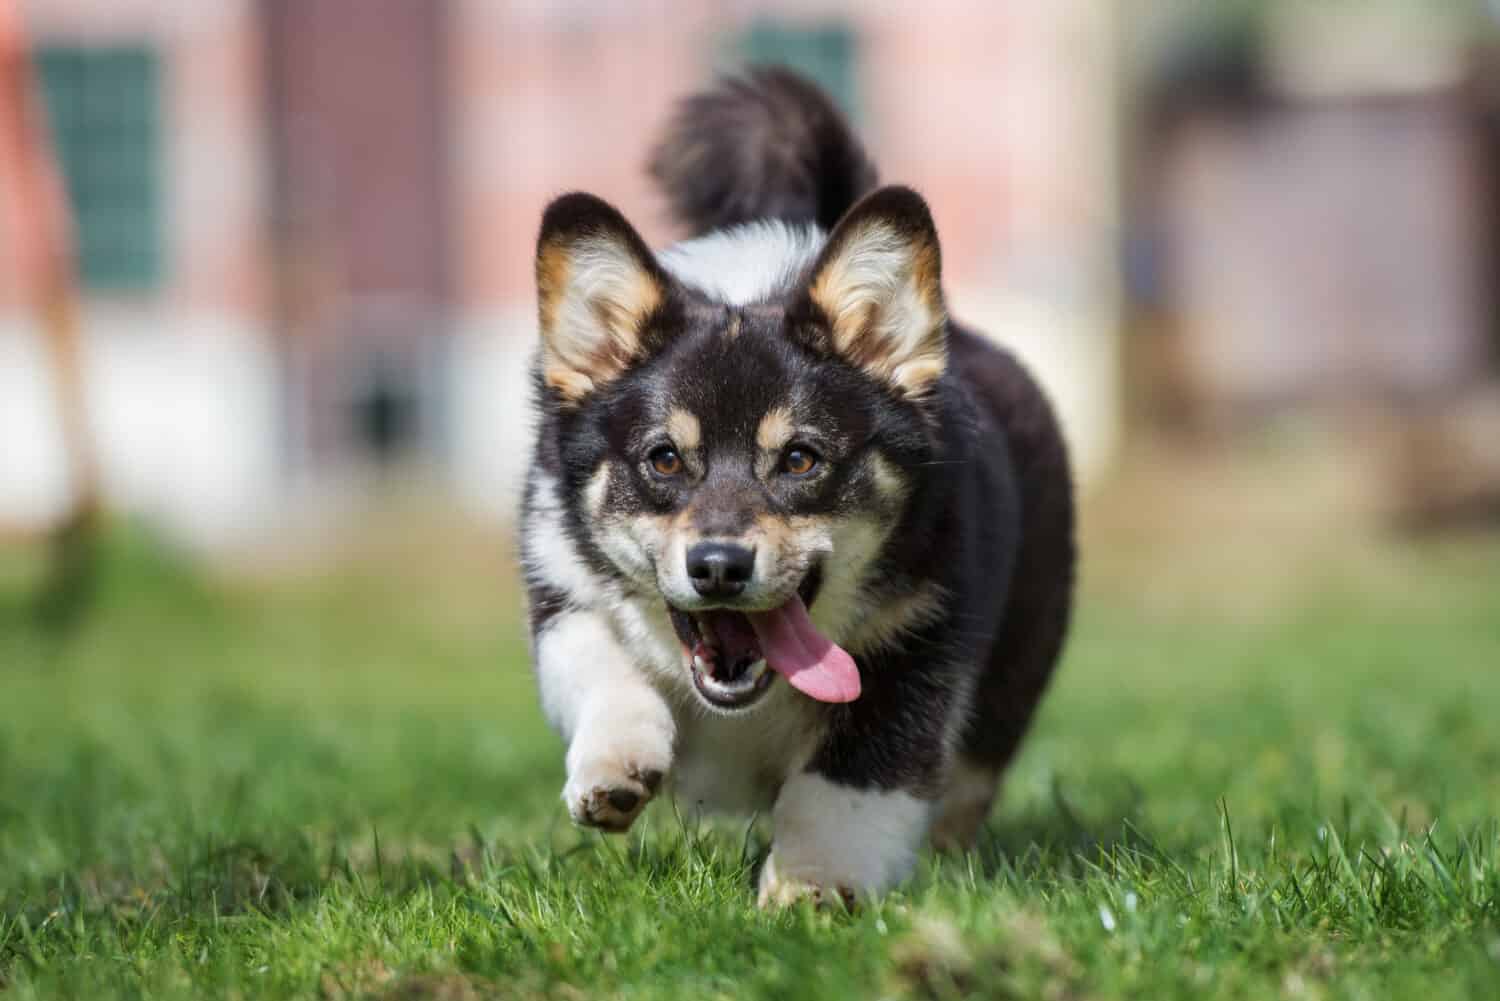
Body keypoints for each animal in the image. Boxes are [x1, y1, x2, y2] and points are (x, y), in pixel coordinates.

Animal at [522, 66, 1074, 906]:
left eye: (802, 460)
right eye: (663, 459)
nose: (718, 567)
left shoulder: (917, 647)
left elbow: (850, 786)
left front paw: (810, 891)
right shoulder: (562, 585)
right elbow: (602, 662)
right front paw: (615, 769)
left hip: (1012, 675)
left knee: (969, 777)